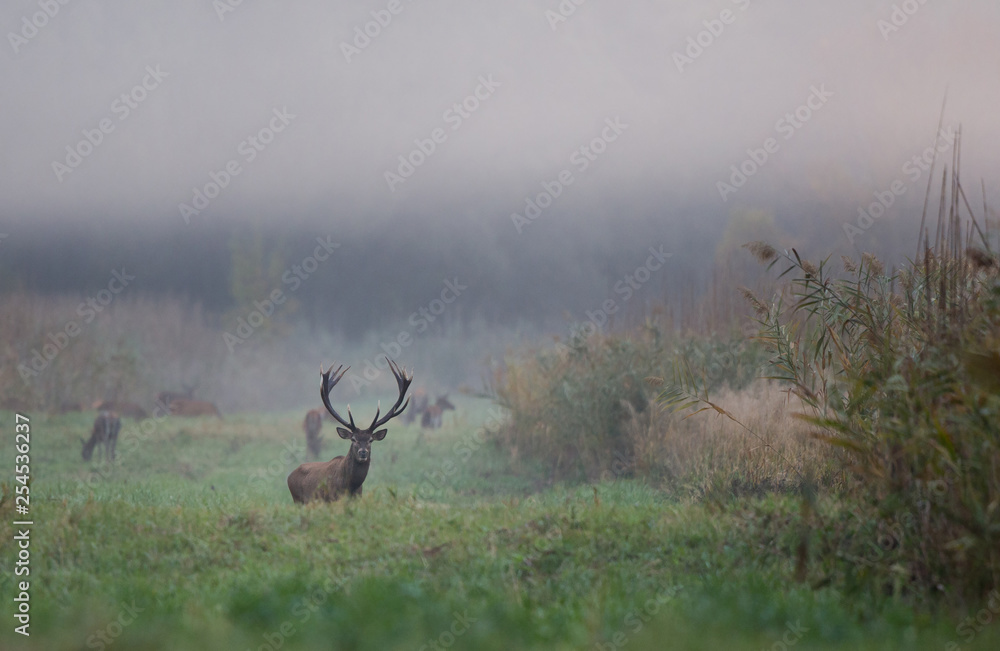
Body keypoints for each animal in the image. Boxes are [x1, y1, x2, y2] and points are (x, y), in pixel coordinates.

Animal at [287, 358, 412, 504]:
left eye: (370, 440)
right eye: (353, 439)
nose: (363, 452)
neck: (350, 487)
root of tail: (289, 476)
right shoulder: (331, 500)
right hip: (298, 500)